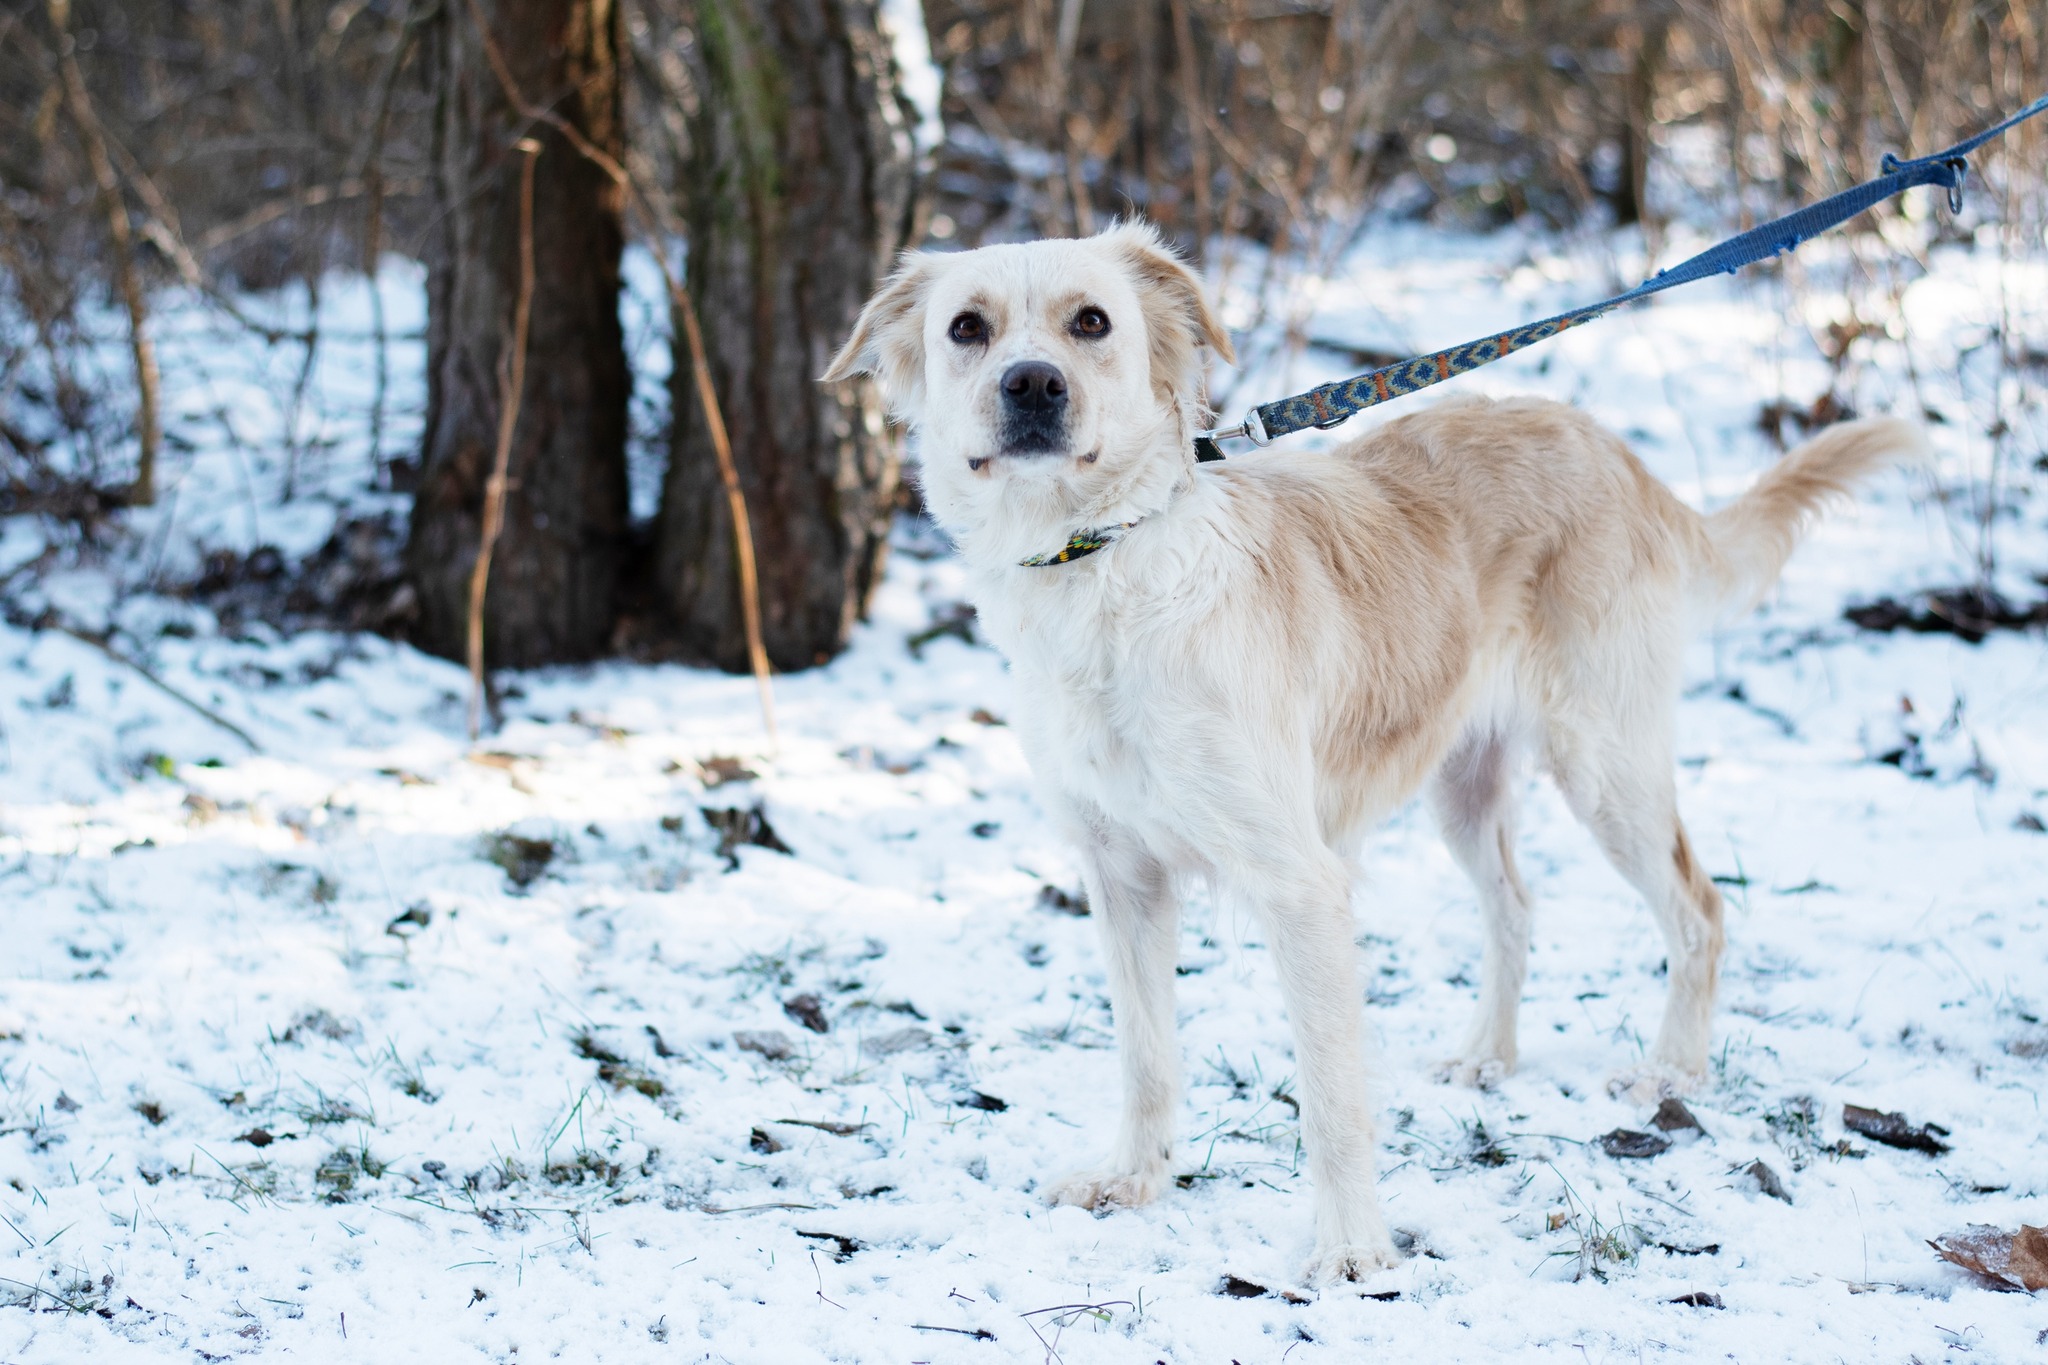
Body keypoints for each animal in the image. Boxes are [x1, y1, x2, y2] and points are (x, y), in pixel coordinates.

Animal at [823, 222, 1908, 1285]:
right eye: (967, 328)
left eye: (1091, 321)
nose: (1033, 385)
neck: (1104, 566)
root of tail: (1610, 447)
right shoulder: (1121, 876)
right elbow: (1145, 1055)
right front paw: (1135, 1179)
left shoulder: (1299, 885)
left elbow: (1330, 1096)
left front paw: (1352, 1250)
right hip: (1461, 785)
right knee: (1515, 907)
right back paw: (1487, 1058)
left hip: (1605, 767)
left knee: (1699, 910)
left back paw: (1668, 1074)